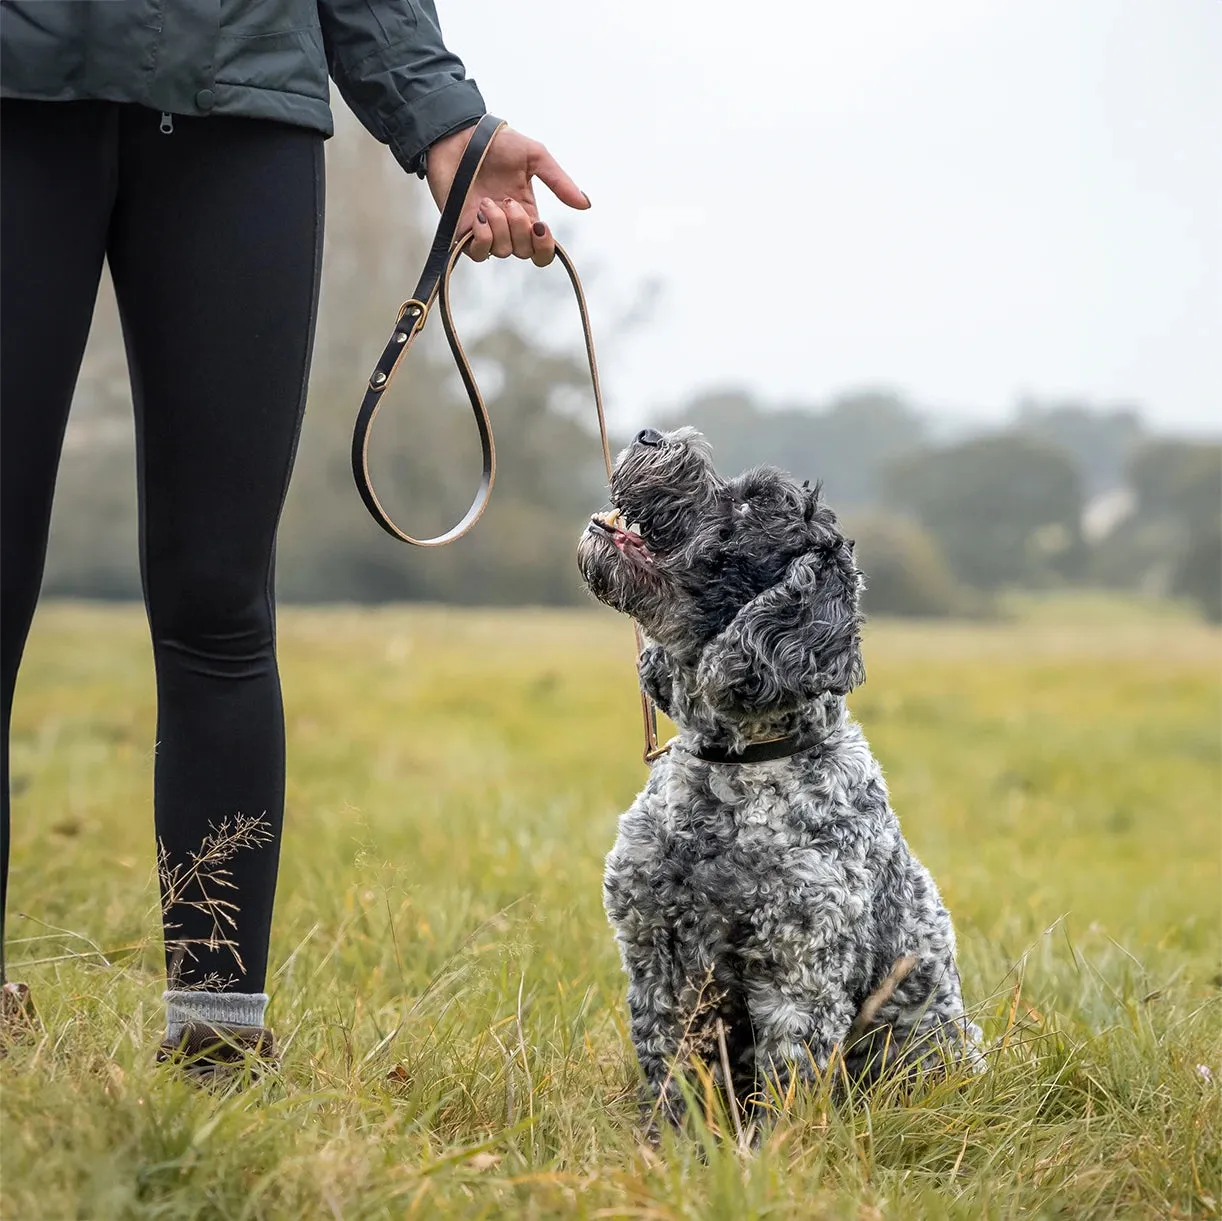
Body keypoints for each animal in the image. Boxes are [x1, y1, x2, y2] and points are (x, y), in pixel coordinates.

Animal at [571, 425, 982, 1129]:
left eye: (751, 504)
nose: (653, 434)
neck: (734, 768)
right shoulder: (658, 958)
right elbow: (671, 1076)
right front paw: (669, 1145)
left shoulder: (798, 974)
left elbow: (786, 1086)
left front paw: (767, 1150)